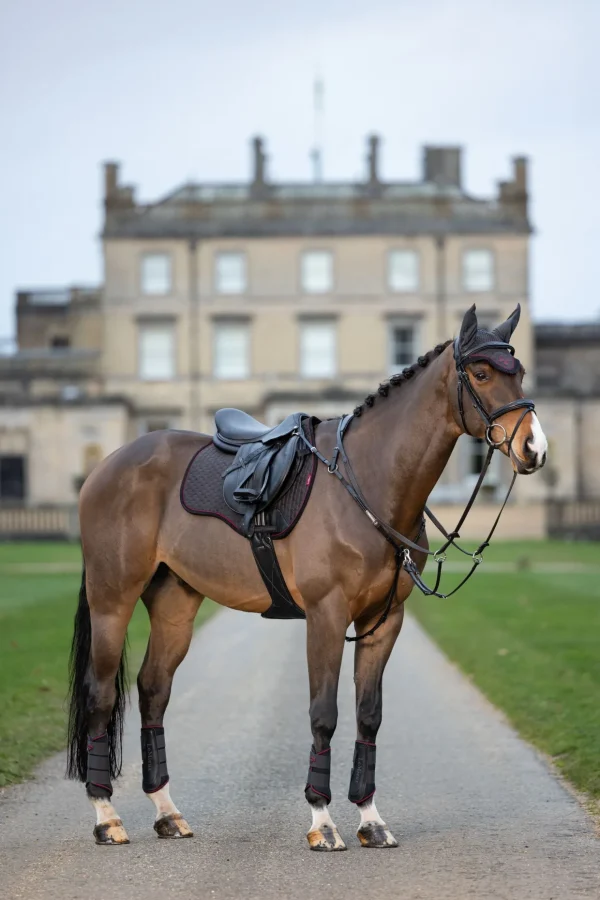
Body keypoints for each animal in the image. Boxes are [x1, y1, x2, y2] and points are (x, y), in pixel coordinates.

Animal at [67, 304, 548, 852]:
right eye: (482, 373)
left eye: (520, 372)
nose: (534, 447)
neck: (369, 484)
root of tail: (107, 466)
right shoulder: (325, 615)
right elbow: (324, 714)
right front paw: (322, 820)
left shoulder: (384, 622)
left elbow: (368, 715)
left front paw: (370, 819)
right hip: (112, 601)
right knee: (101, 695)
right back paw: (106, 815)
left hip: (174, 606)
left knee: (152, 691)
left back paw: (167, 811)